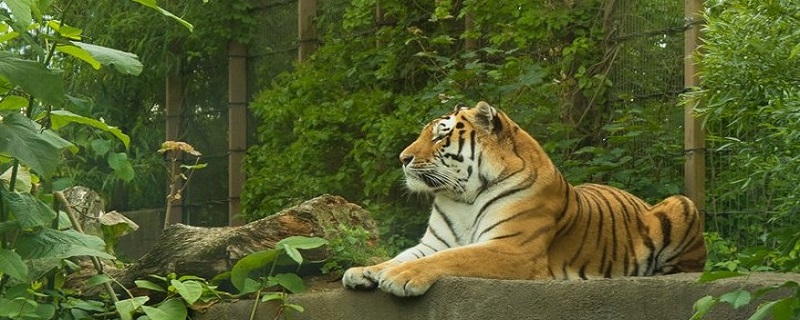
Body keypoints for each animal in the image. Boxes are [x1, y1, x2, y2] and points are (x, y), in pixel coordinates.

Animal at [340, 101, 704, 296]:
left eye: (441, 136)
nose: (403, 158)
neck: (461, 198)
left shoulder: (513, 248)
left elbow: (450, 258)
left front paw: (399, 277)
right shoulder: (433, 242)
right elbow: (400, 256)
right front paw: (364, 271)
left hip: (681, 204)